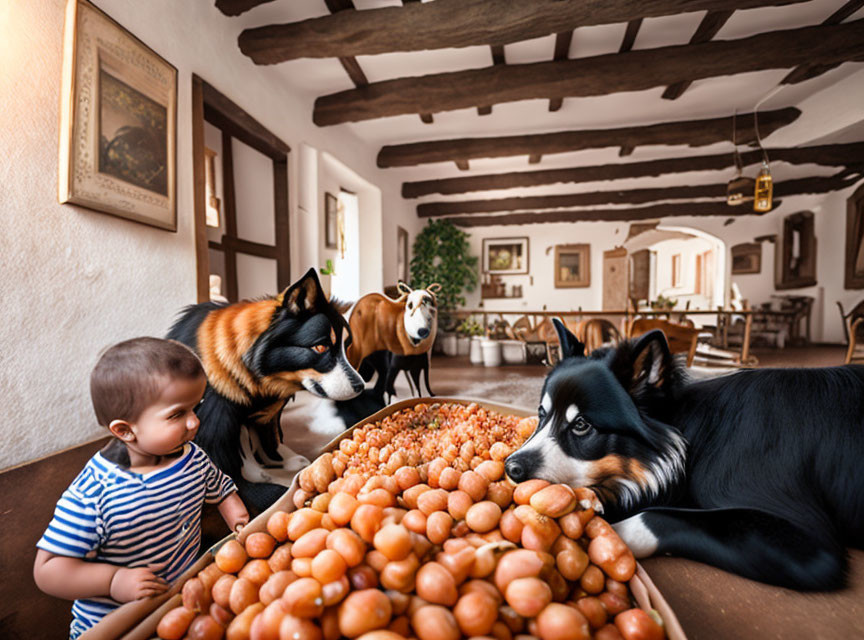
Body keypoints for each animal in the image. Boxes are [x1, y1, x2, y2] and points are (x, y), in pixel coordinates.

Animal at [167, 268, 362, 508]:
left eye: (347, 346)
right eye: (320, 347)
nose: (361, 386)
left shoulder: (268, 408)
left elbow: (269, 435)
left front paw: (282, 459)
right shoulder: (217, 417)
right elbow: (231, 464)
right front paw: (264, 487)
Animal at [506, 318, 864, 592]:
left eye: (581, 425)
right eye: (541, 414)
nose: (511, 468)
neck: (697, 438)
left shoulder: (809, 545)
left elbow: (653, 517)